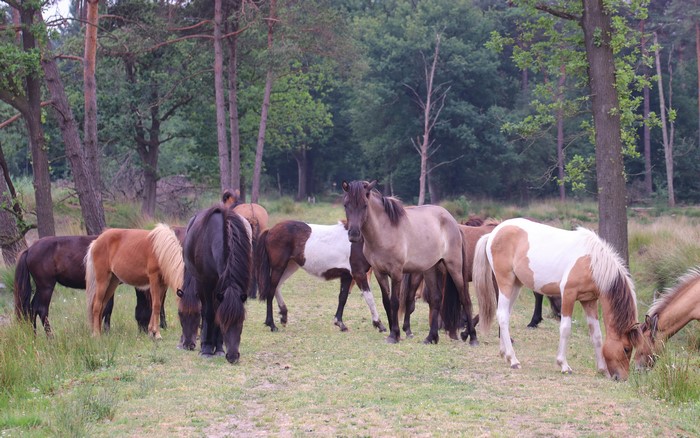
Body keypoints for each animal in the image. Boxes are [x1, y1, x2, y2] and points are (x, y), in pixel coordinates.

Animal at [13, 232, 183, 336]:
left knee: (31, 309)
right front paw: (104, 330)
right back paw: (50, 337)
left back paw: (34, 336)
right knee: (41, 309)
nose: (143, 331)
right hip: (46, 286)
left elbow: (106, 307)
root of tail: (29, 249)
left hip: (42, 287)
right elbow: (107, 307)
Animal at [178, 204, 252, 363]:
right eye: (180, 315)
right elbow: (209, 313)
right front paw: (206, 348)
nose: (232, 356)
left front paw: (218, 348)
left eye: (241, 321)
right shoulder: (206, 283)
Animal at [254, 219, 387, 333]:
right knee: (271, 291)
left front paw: (340, 323)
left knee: (277, 287)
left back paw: (283, 315)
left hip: (290, 266)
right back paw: (272, 324)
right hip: (279, 267)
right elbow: (369, 297)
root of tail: (270, 230)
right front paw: (378, 324)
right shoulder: (359, 274)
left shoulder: (347, 276)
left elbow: (343, 298)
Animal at [342, 180, 476, 345]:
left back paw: (473, 338)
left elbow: (395, 302)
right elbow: (386, 302)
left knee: (465, 299)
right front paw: (395, 333)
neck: (384, 232)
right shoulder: (380, 273)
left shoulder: (396, 273)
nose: (354, 234)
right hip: (430, 269)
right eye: (346, 204)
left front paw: (394, 335)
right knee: (436, 300)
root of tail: (453, 222)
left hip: (454, 267)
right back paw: (431, 337)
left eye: (365, 205)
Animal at [473, 218, 641, 380]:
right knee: (502, 315)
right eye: (626, 348)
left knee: (505, 314)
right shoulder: (568, 294)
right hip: (505, 283)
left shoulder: (589, 301)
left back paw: (505, 354)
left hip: (516, 285)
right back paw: (514, 360)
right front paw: (564, 365)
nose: (621, 378)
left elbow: (597, 335)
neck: (592, 262)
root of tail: (493, 233)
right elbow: (565, 329)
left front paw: (602, 370)